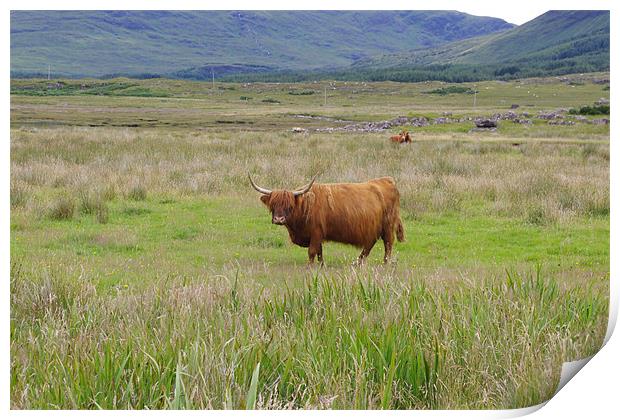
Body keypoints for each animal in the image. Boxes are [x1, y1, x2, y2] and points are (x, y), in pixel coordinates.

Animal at [249, 174, 404, 262]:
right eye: (273, 204)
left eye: (289, 206)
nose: (279, 219)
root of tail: (387, 180)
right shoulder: (317, 235)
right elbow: (319, 252)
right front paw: (321, 266)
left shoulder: (316, 233)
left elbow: (312, 252)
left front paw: (310, 268)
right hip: (374, 228)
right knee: (369, 244)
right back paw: (358, 262)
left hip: (388, 226)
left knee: (388, 244)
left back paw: (385, 263)